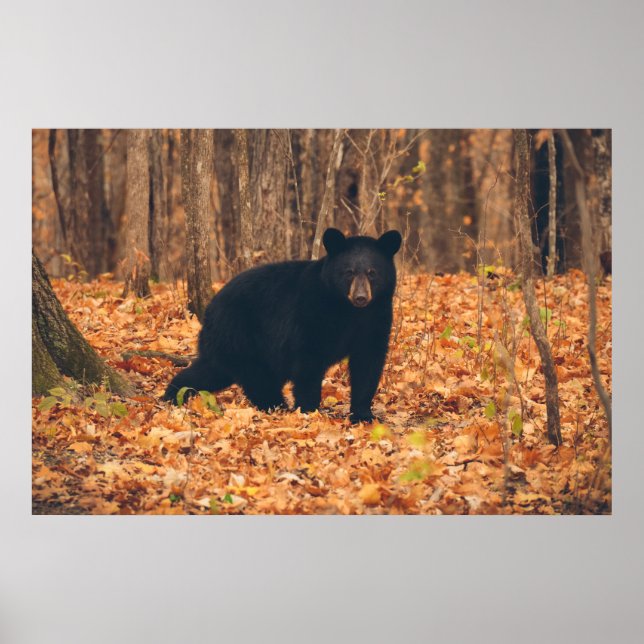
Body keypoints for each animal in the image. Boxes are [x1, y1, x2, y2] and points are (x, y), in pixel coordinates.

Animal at [163, 227, 402, 423]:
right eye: (349, 272)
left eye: (372, 272)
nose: (361, 297)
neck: (347, 309)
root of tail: (209, 309)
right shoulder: (311, 312)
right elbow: (308, 361)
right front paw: (309, 410)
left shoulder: (376, 316)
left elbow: (368, 362)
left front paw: (363, 415)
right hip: (240, 335)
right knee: (254, 377)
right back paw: (276, 405)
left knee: (211, 370)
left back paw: (175, 393)